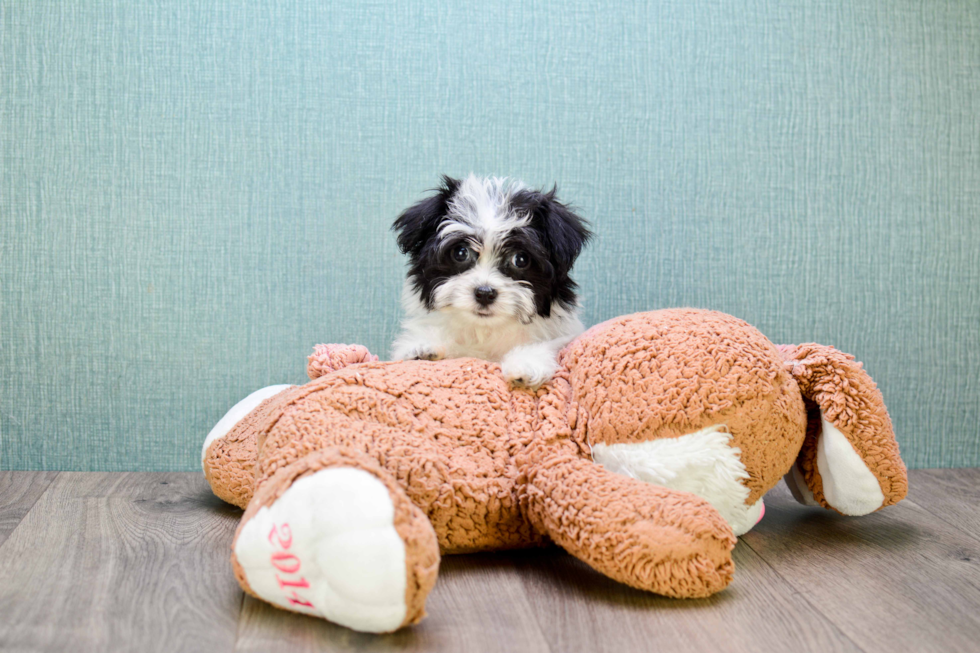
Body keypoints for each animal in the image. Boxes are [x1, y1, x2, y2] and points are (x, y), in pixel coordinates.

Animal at [388, 173, 588, 388]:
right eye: (460, 252)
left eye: (520, 259)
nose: (484, 293)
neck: (485, 330)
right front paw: (421, 346)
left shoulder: (565, 334)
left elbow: (551, 344)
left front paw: (526, 363)